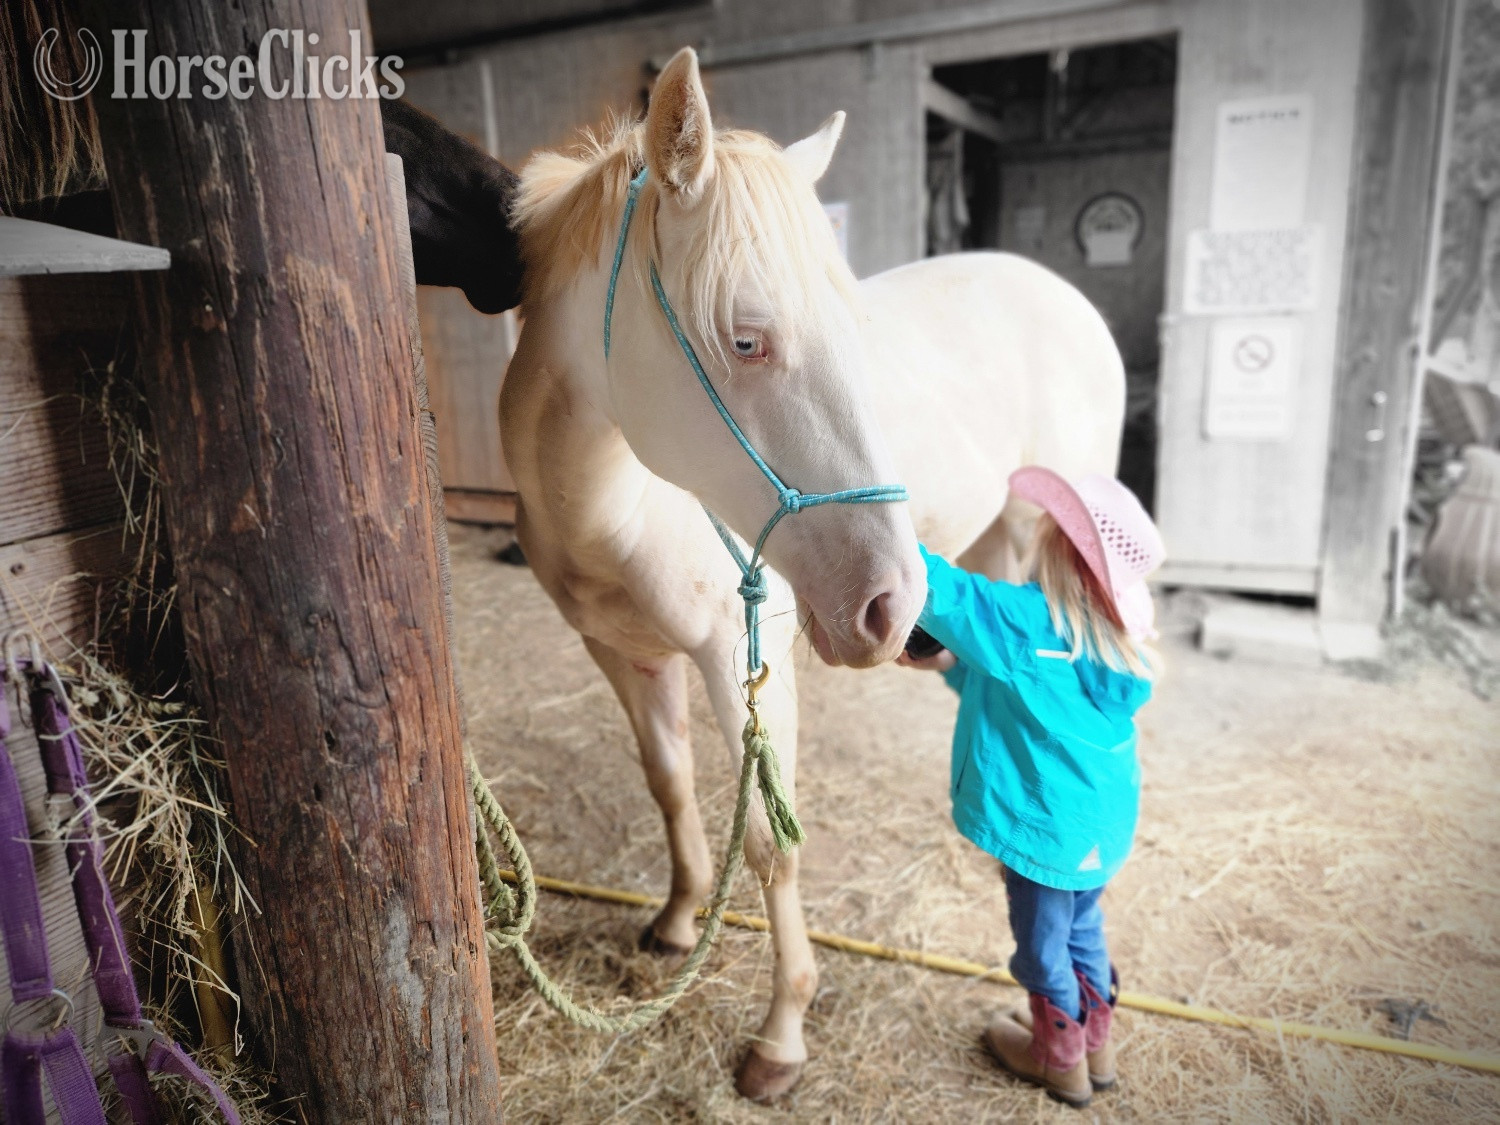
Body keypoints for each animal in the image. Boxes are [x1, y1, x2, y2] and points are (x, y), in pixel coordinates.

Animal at [502, 47, 1124, 1101]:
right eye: (746, 338)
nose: (893, 602)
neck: (613, 506)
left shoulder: (744, 660)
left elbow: (771, 845)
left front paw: (782, 1034)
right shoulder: (622, 653)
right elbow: (669, 784)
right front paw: (678, 919)